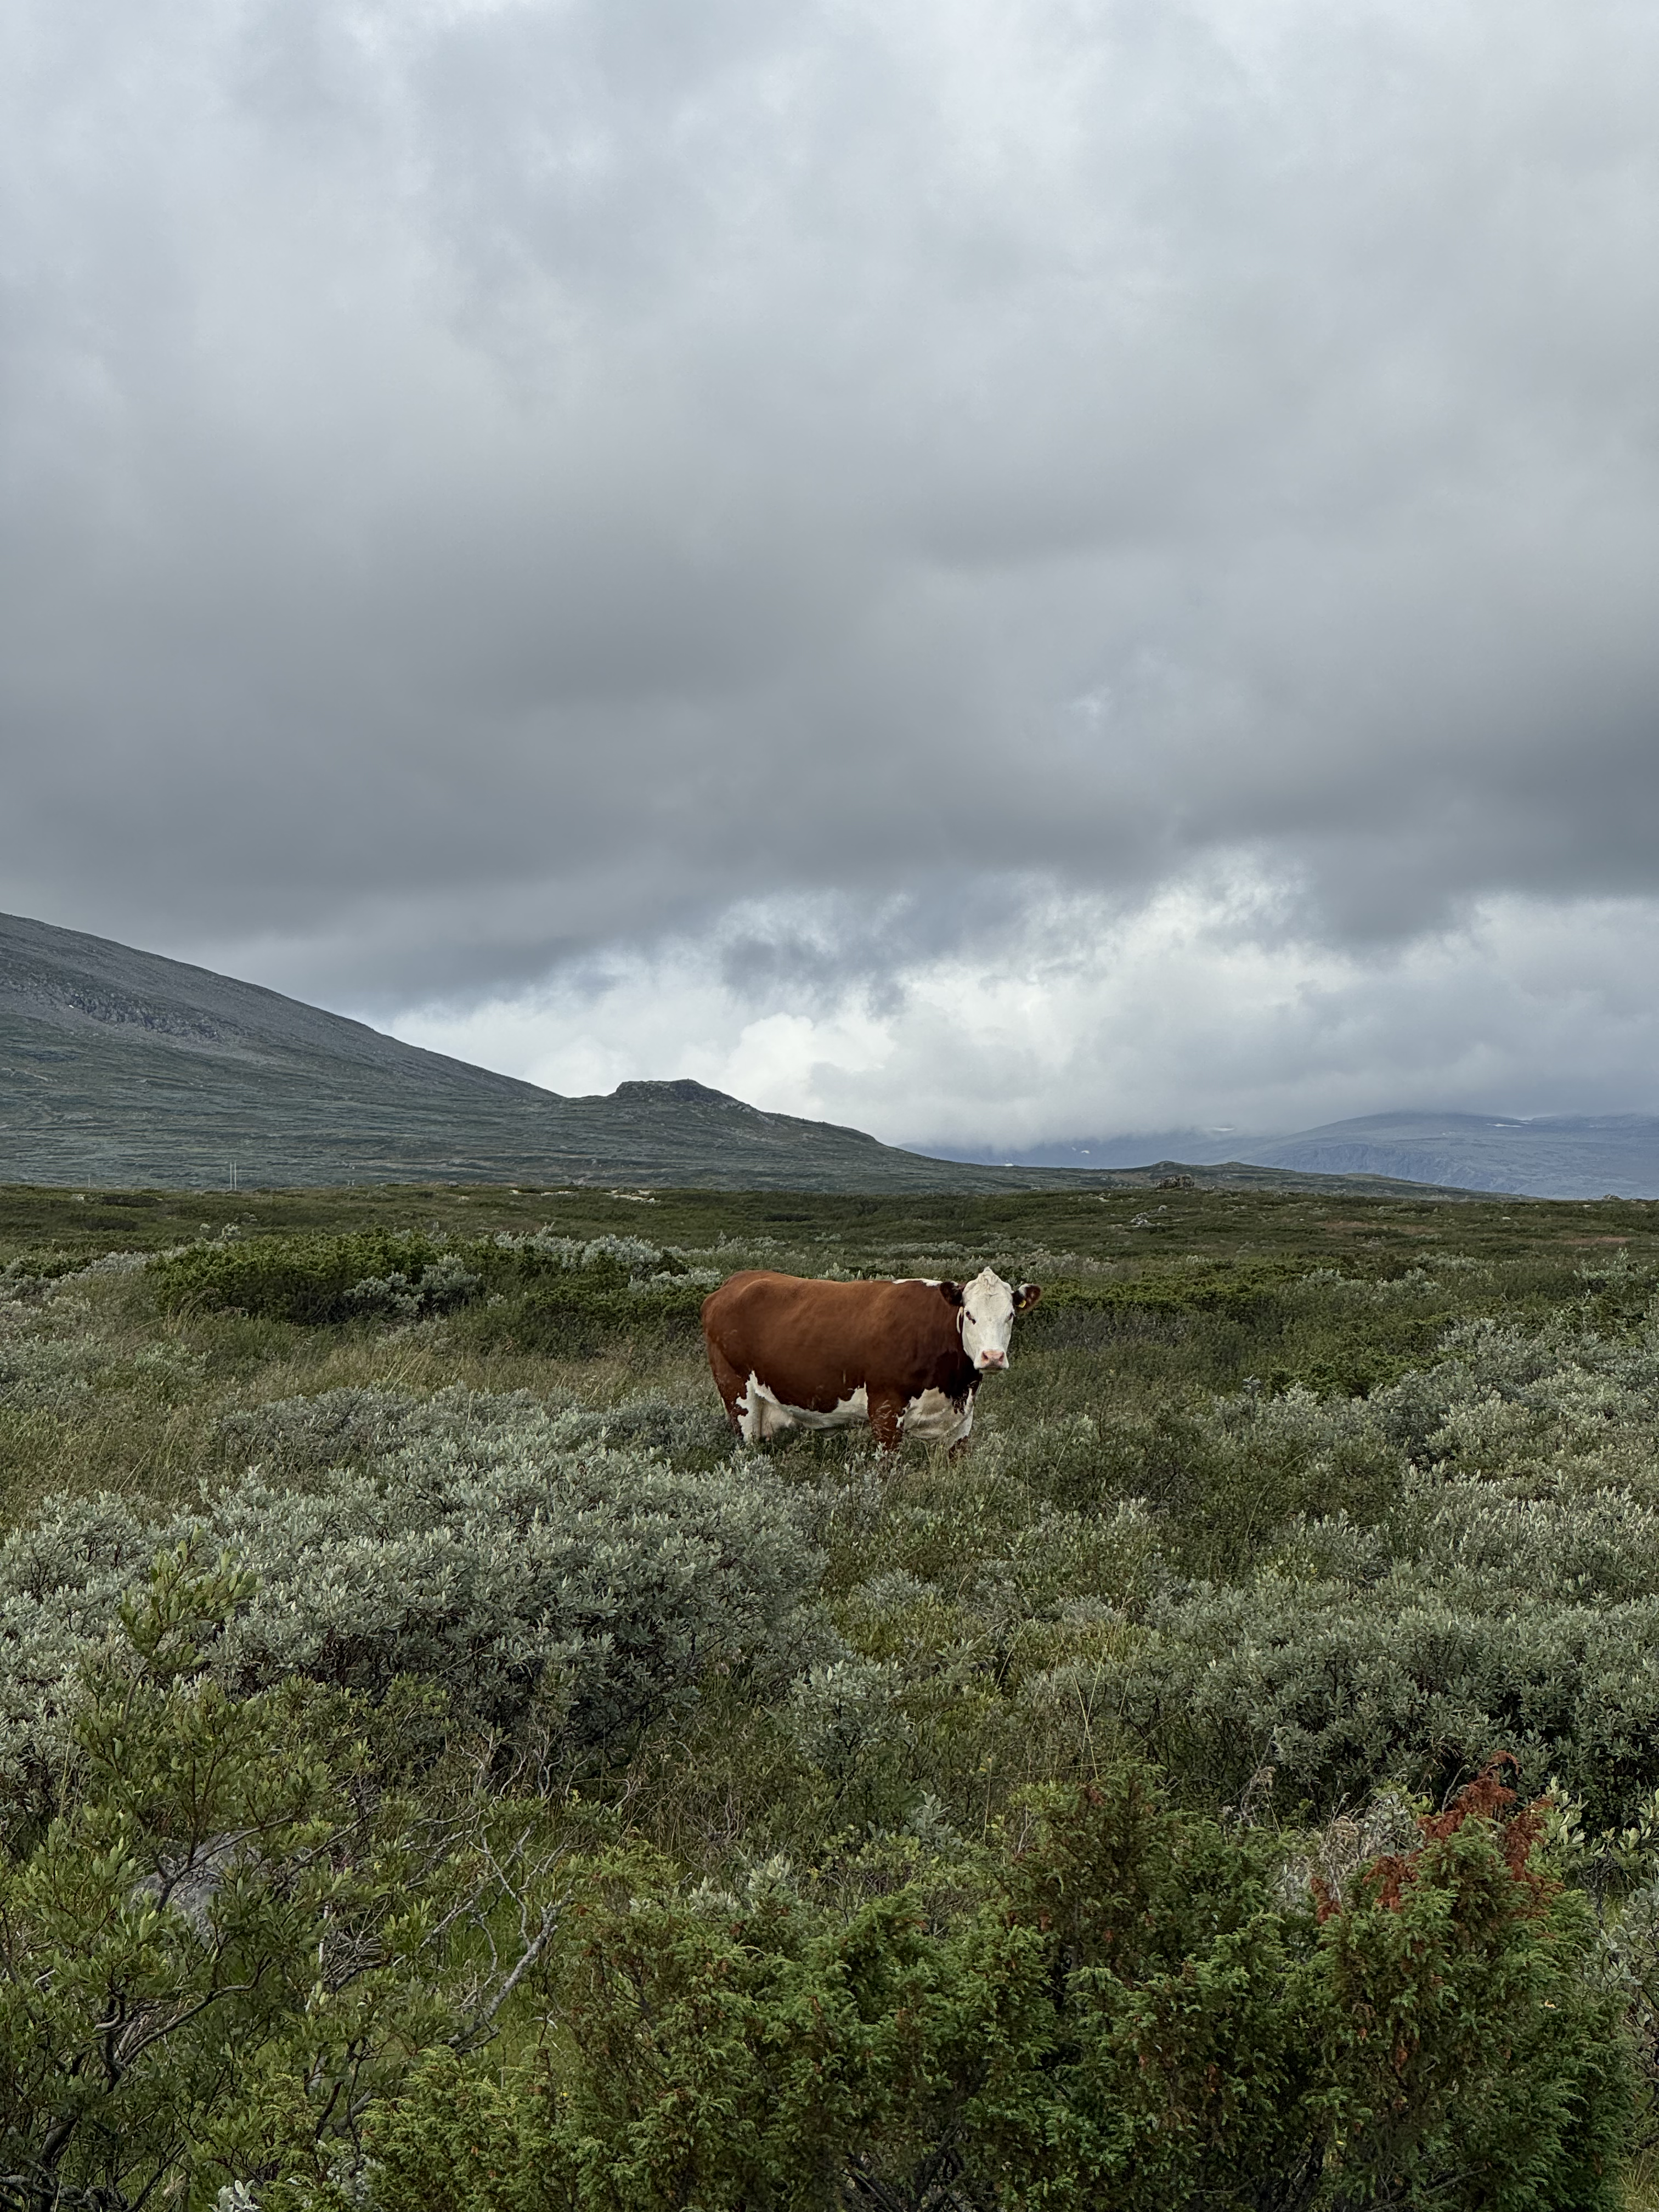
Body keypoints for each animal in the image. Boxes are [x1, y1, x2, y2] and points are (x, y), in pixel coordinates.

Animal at [701, 1266, 1042, 1454]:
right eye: (970, 1314)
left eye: (1010, 1315)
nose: (992, 1357)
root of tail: (733, 1283)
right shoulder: (885, 1409)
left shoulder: (962, 1422)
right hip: (738, 1396)